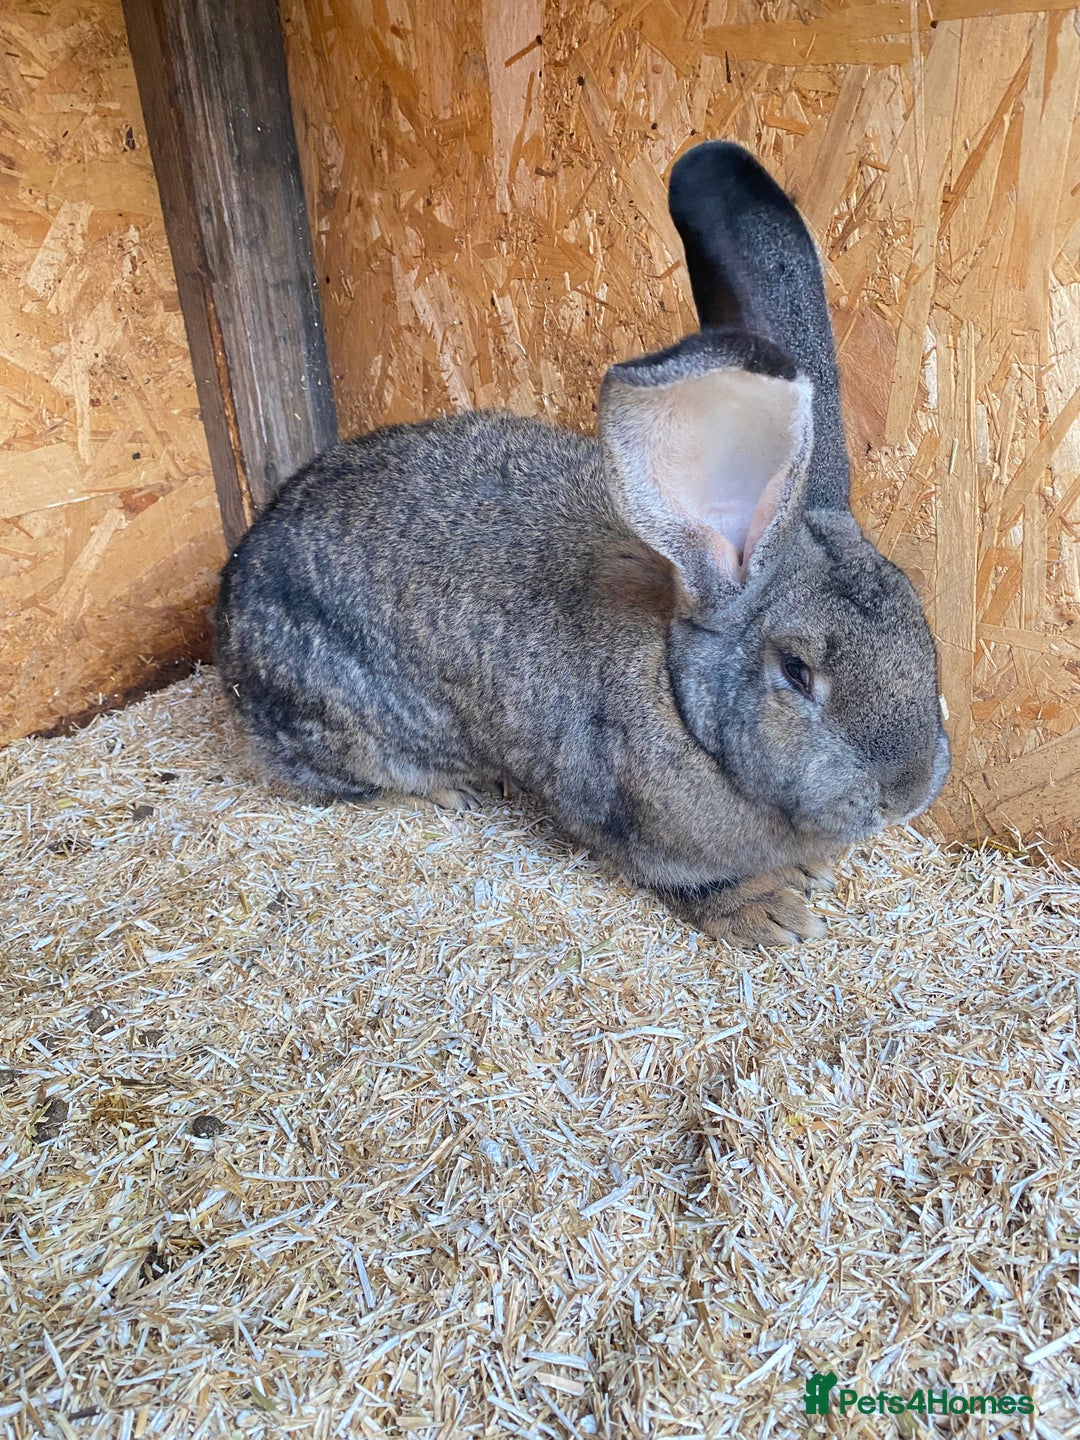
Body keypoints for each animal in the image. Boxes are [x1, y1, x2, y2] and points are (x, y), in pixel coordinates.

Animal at [215, 140, 950, 948]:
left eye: (925, 637)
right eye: (796, 672)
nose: (909, 793)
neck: (684, 711)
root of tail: (229, 611)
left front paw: (810, 871)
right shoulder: (633, 826)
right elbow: (690, 881)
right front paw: (772, 912)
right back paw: (440, 794)